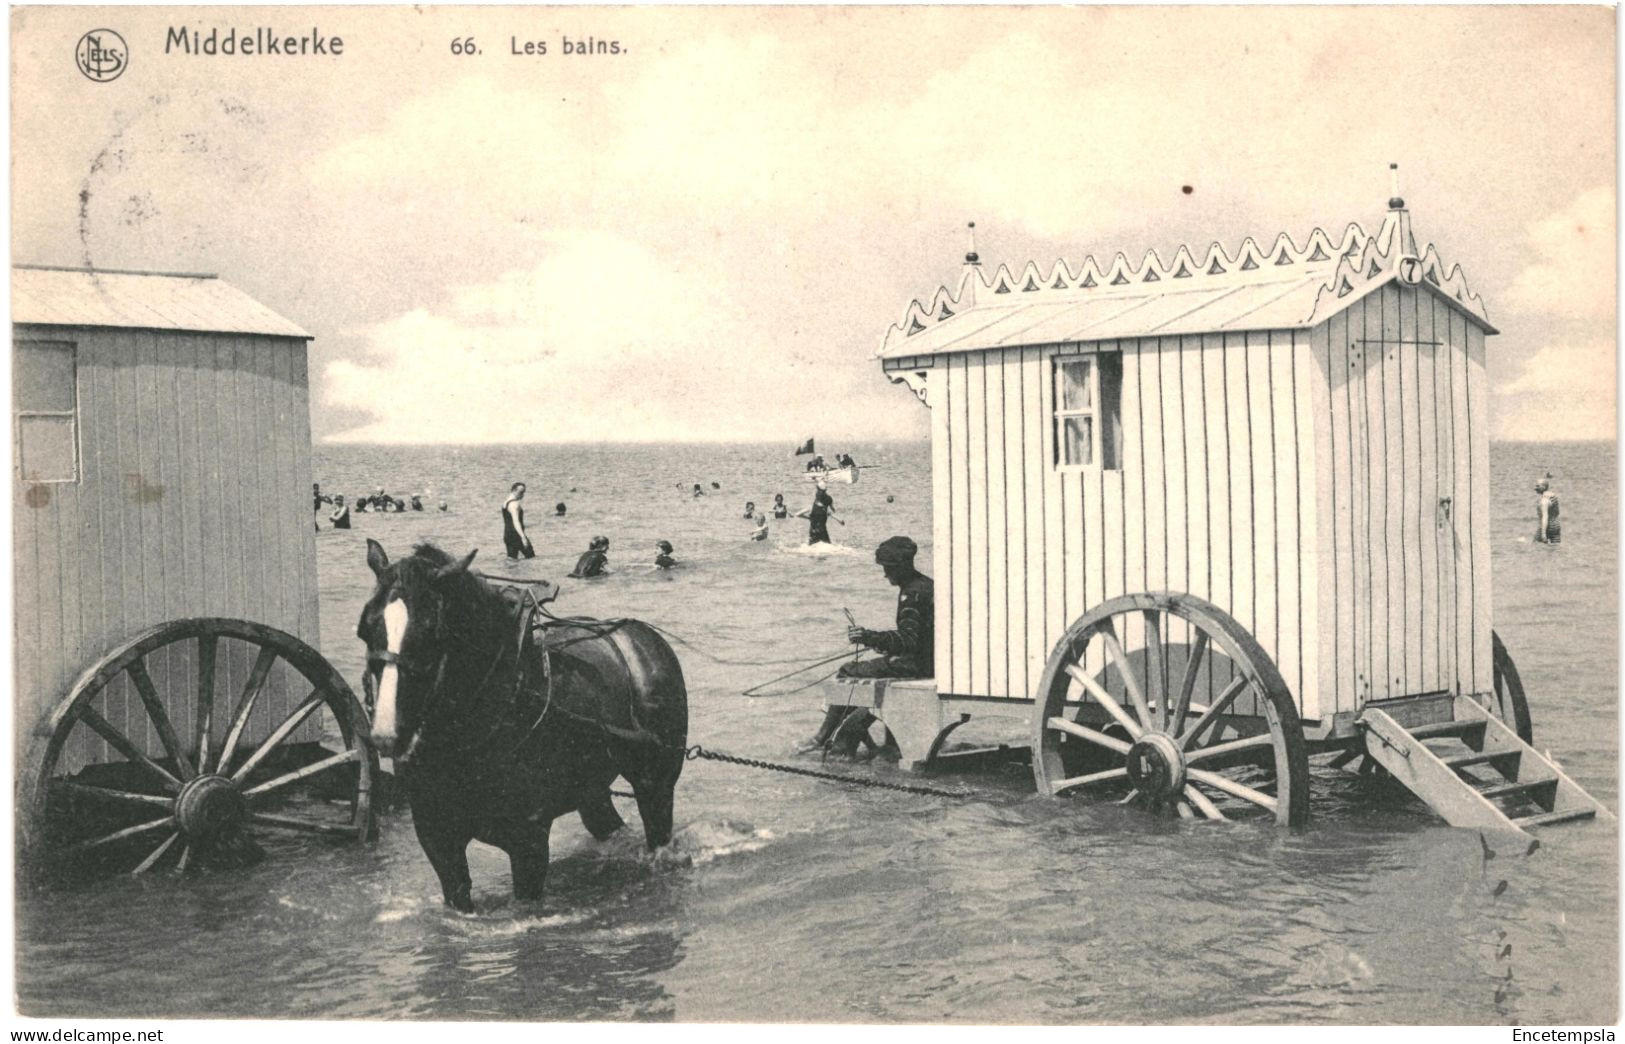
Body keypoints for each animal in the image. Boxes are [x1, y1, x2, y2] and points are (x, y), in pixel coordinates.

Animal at [355, 539, 685, 904]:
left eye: (432, 631)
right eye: (365, 628)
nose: (387, 735)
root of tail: (640, 636)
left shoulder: (528, 838)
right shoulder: (437, 838)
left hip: (656, 782)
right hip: (591, 787)